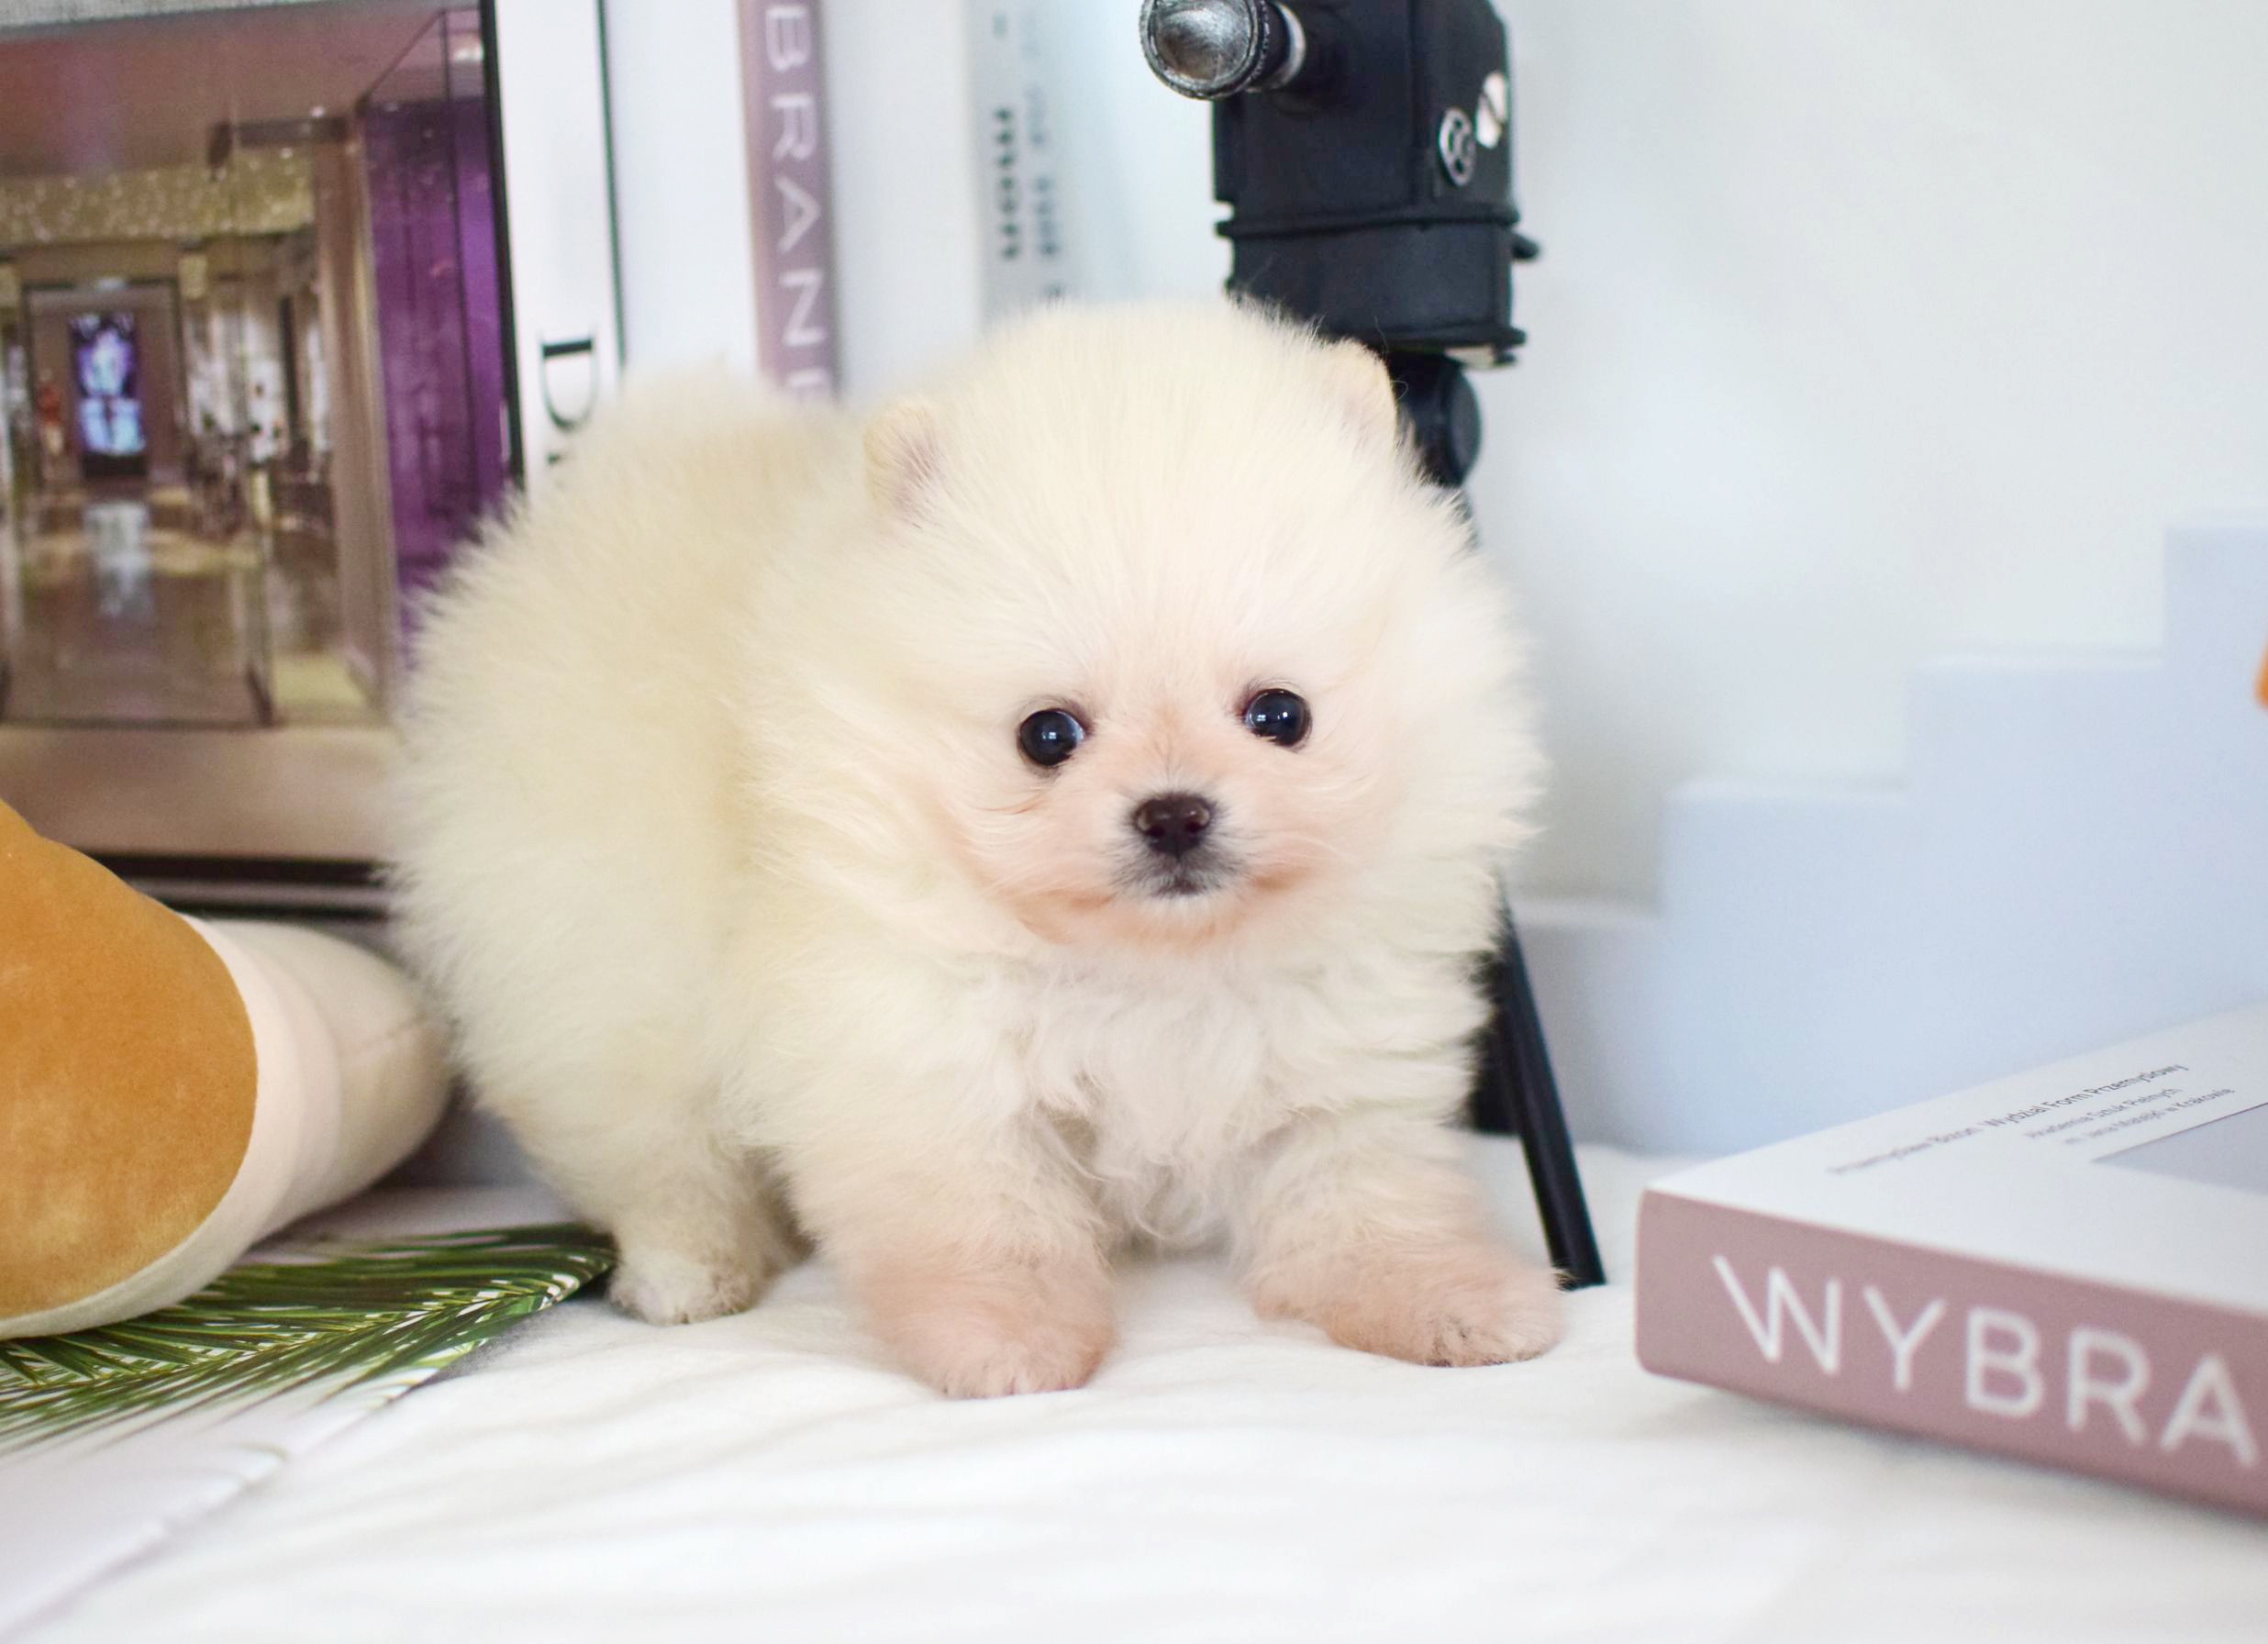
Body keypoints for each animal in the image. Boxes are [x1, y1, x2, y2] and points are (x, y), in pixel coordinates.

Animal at [389, 300, 1563, 1396]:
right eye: (1047, 735)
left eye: (1281, 715)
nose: (1174, 812)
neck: (1155, 967)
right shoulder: (915, 1050)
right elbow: (984, 1217)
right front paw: (1007, 1338)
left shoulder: (1335, 1053)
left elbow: (1369, 1196)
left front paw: (1455, 1300)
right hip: (602, 977)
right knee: (653, 1151)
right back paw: (691, 1268)